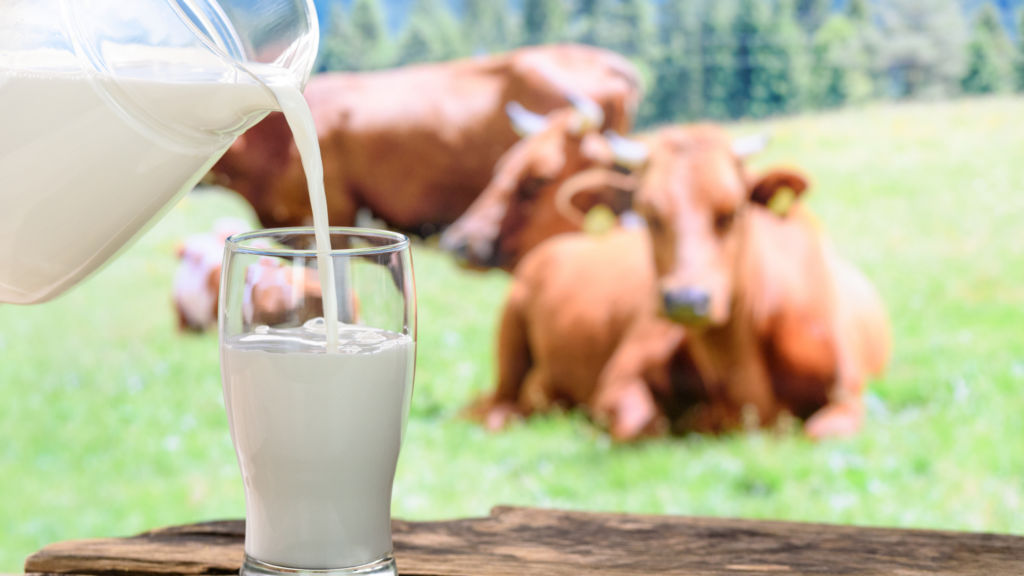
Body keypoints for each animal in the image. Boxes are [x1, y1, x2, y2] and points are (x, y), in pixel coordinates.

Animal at [475, 124, 884, 438]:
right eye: (648, 213)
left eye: (732, 211)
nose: (687, 299)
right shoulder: (619, 377)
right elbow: (644, 425)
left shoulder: (847, 396)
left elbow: (820, 431)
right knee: (494, 406)